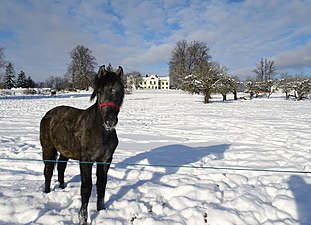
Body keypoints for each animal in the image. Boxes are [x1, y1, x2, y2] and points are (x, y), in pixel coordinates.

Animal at [39, 64, 125, 223]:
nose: (110, 121)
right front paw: (83, 218)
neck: (100, 132)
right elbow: (86, 187)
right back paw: (47, 193)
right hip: (48, 148)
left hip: (65, 151)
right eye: (99, 91)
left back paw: (62, 187)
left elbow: (101, 184)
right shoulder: (86, 161)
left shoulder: (105, 160)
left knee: (61, 167)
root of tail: (48, 114)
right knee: (48, 171)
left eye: (121, 92)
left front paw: (101, 210)